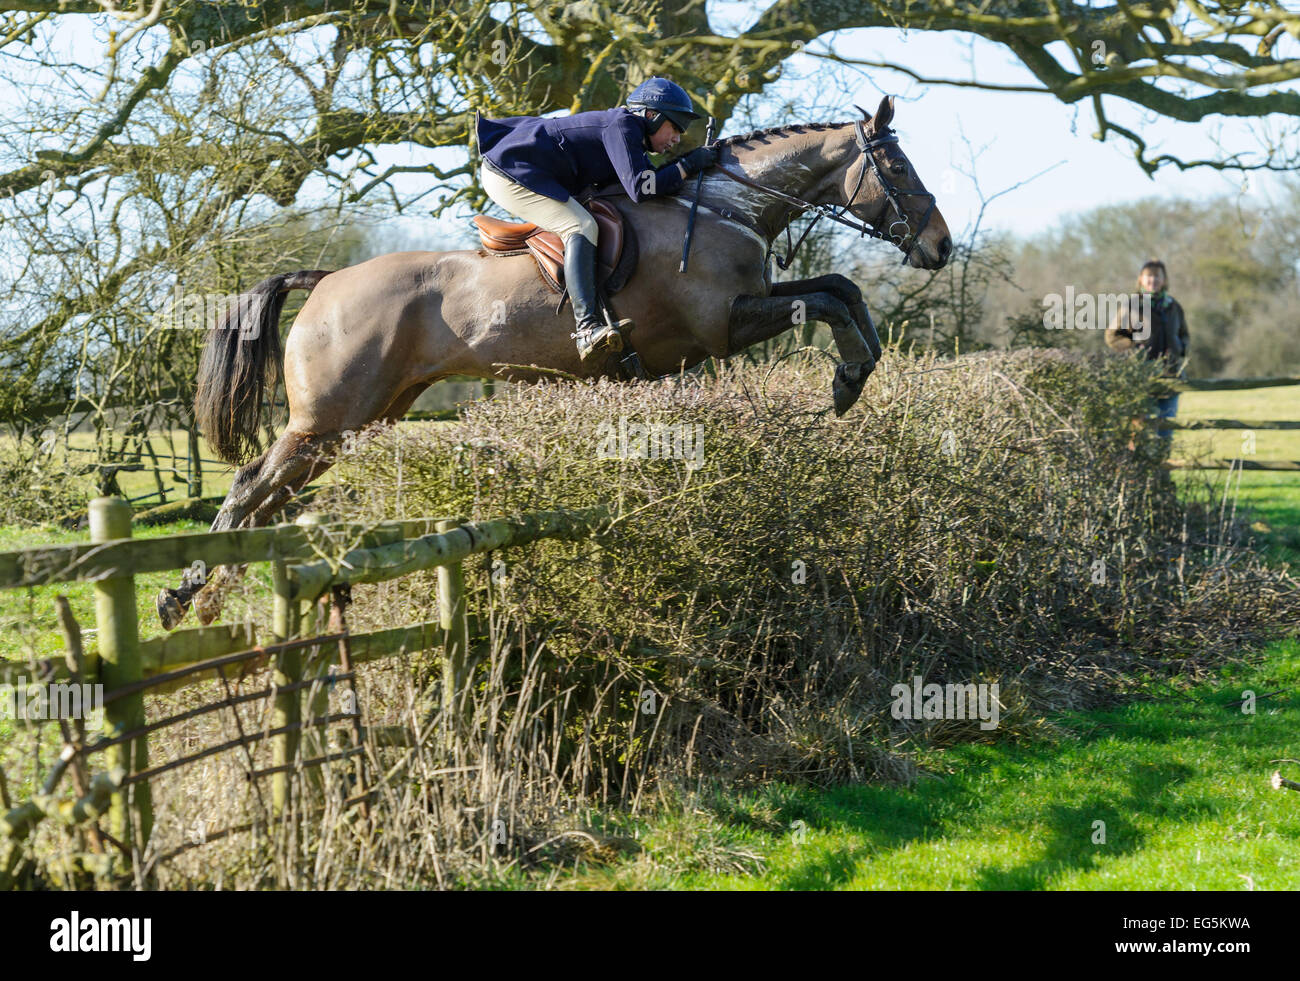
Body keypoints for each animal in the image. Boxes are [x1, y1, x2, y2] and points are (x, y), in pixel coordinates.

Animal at [159, 98, 956, 628]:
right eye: (896, 165)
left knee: (272, 498)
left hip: (361, 421)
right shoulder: (724, 325)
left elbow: (840, 289)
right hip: (326, 419)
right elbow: (826, 299)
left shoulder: (752, 304)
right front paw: (848, 378)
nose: (941, 246)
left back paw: (214, 597)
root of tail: (324, 281)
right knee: (248, 484)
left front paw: (856, 375)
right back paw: (180, 594)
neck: (722, 203)